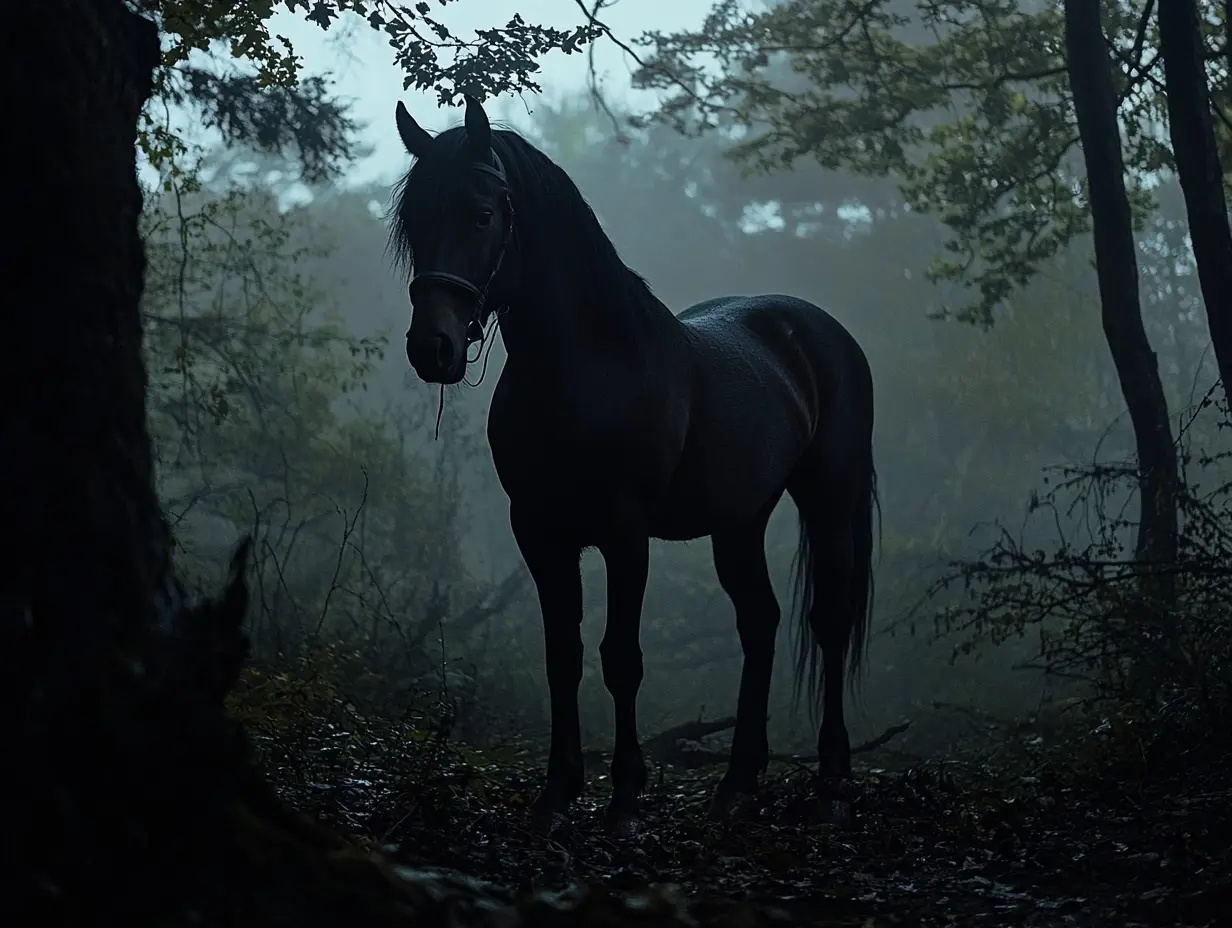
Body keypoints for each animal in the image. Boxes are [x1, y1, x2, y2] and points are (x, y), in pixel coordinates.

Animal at [388, 95, 879, 834]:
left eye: (480, 213)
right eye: (414, 219)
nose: (432, 348)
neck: (588, 368)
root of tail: (820, 330)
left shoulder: (625, 534)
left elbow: (620, 658)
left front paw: (623, 798)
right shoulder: (539, 532)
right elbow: (562, 655)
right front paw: (557, 795)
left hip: (829, 499)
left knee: (828, 621)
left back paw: (830, 780)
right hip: (740, 521)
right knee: (759, 621)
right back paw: (737, 783)